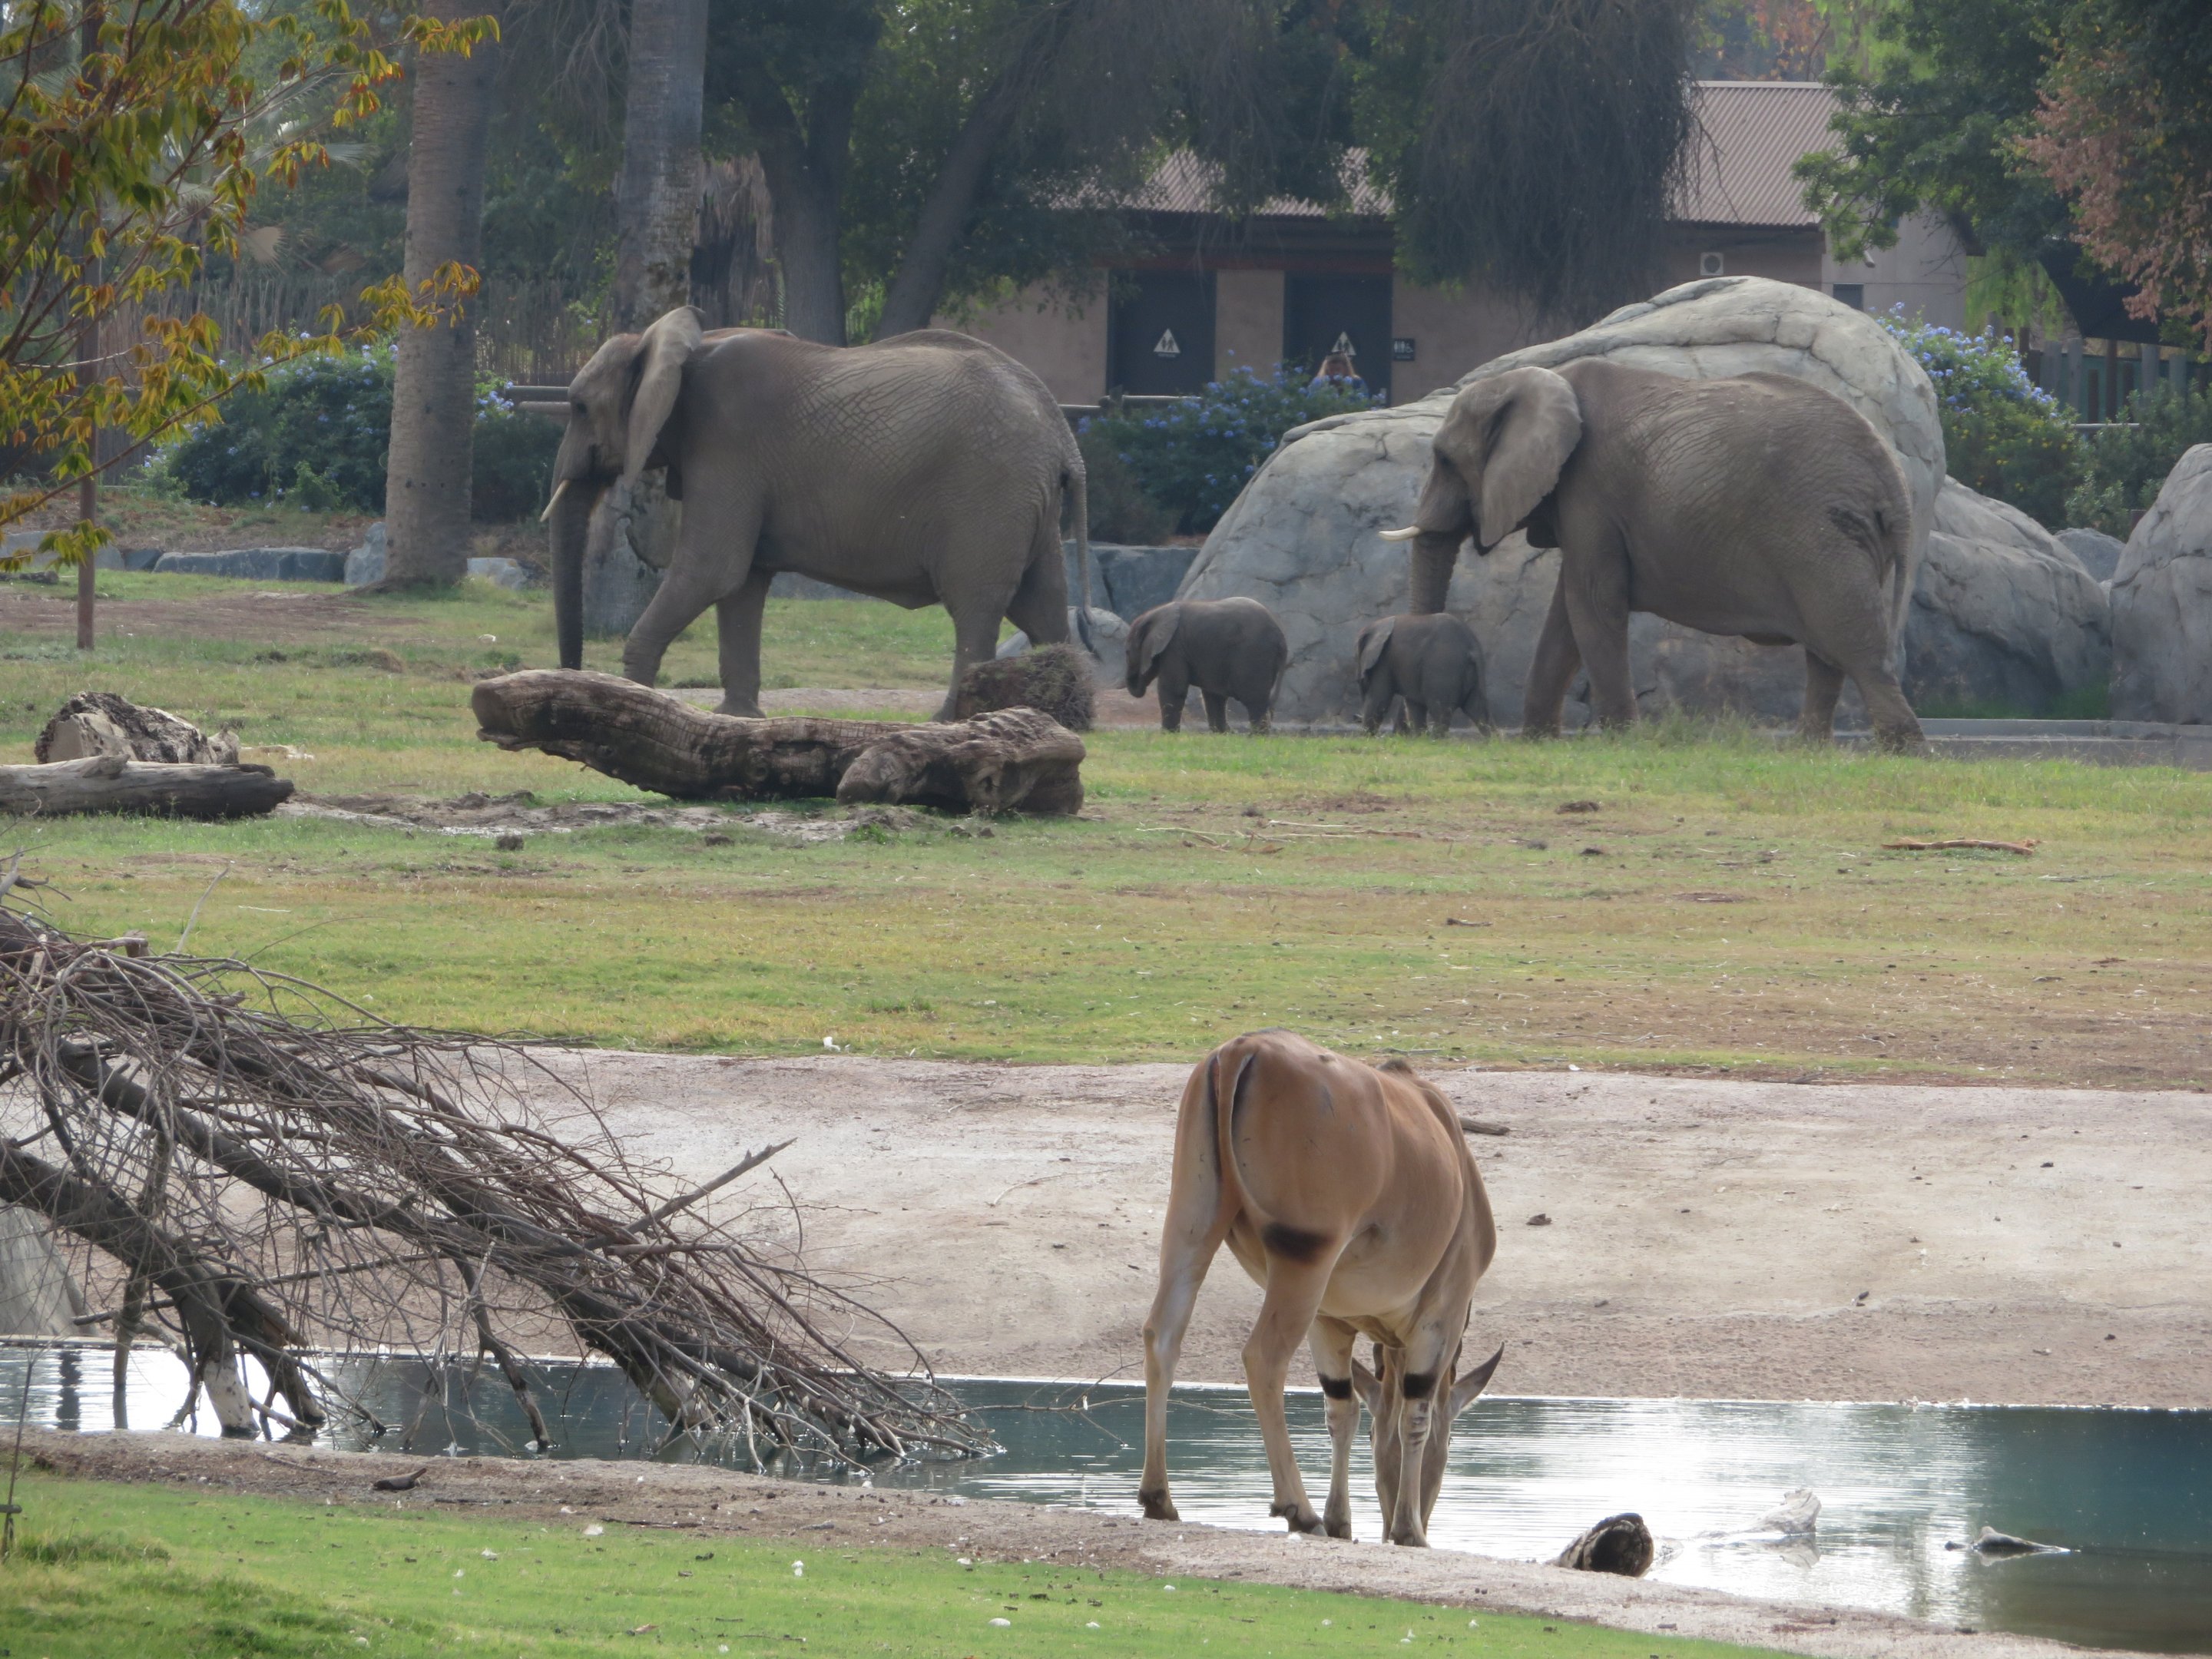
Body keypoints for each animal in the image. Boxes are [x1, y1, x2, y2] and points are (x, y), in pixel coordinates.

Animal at [542, 306, 1091, 719]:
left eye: (579, 407)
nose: (571, 677)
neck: (671, 343)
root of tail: (1064, 437)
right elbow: (741, 583)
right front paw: (737, 718)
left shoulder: (726, 445)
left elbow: (711, 571)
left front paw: (631, 696)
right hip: (1027, 502)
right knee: (1041, 603)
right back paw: (1068, 718)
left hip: (990, 495)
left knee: (976, 606)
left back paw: (948, 720)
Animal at [1125, 597, 1289, 732]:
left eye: (1127, 652)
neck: (1154, 614)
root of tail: (1281, 636)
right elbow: (1213, 695)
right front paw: (1223, 734)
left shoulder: (1174, 648)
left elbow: (1174, 689)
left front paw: (1167, 735)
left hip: (1254, 654)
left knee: (1255, 700)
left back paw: (1256, 737)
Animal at [1355, 613, 1490, 736]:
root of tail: (1471, 646)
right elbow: (1414, 705)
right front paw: (1419, 739)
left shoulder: (1383, 660)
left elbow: (1379, 699)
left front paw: (1365, 738)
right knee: (1477, 709)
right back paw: (1491, 740)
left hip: (1443, 668)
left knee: (1440, 711)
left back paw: (1435, 740)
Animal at [1380, 360, 1925, 751]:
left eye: (1445, 460)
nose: (1409, 732)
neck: (1541, 379)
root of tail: (1896, 484)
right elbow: (1566, 615)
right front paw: (1539, 742)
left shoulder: (1589, 491)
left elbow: (1592, 603)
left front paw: (1623, 740)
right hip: (1840, 538)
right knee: (1828, 649)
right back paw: (1809, 751)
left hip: (1820, 533)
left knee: (1852, 639)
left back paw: (1903, 749)